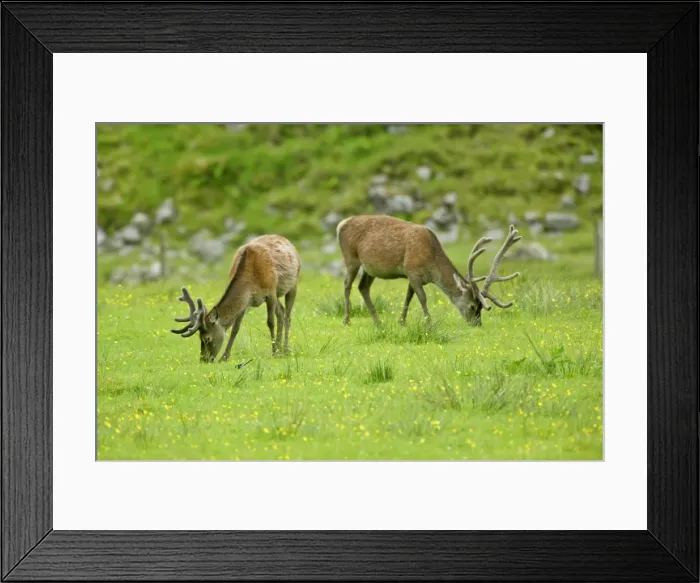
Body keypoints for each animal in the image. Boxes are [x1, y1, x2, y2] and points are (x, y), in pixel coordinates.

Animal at [171, 234, 301, 363]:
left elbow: (270, 322)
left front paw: (274, 352)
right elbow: (235, 329)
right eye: (199, 338)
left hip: (293, 284)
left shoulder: (270, 292)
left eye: (207, 339)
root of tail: (287, 240)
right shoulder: (246, 302)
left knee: (287, 316)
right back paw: (281, 349)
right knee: (281, 312)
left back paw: (285, 349)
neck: (251, 283)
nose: (204, 360)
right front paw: (224, 357)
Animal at [336, 215, 522, 327]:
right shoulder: (412, 271)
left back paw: (377, 321)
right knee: (347, 285)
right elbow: (422, 298)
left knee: (363, 287)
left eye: (481, 308)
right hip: (351, 258)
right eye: (472, 306)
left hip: (370, 268)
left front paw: (401, 321)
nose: (477, 324)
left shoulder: (413, 276)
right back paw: (346, 319)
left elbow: (408, 297)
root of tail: (340, 224)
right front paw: (429, 322)